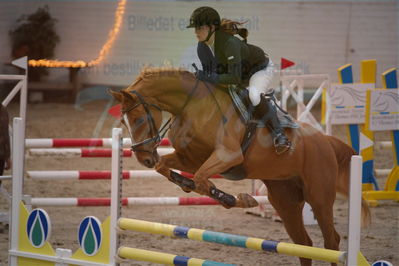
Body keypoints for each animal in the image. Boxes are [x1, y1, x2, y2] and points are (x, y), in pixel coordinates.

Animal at [110, 66, 372, 266]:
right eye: (122, 121)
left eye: (138, 119)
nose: (144, 158)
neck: (191, 107)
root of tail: (327, 141)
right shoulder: (190, 158)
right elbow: (169, 169)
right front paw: (193, 186)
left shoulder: (228, 155)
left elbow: (201, 180)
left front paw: (236, 199)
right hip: (285, 201)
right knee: (304, 244)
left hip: (319, 198)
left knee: (331, 242)